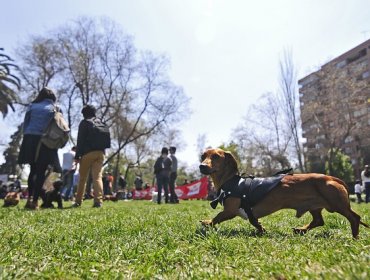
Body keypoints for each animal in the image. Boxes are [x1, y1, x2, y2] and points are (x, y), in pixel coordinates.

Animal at [201, 149, 368, 238]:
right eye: (203, 156)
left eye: (216, 156)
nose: (201, 166)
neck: (231, 181)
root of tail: (331, 178)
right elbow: (255, 222)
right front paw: (261, 230)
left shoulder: (230, 210)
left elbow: (217, 217)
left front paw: (208, 222)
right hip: (314, 206)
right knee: (318, 221)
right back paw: (301, 230)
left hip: (337, 204)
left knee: (354, 218)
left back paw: (354, 237)